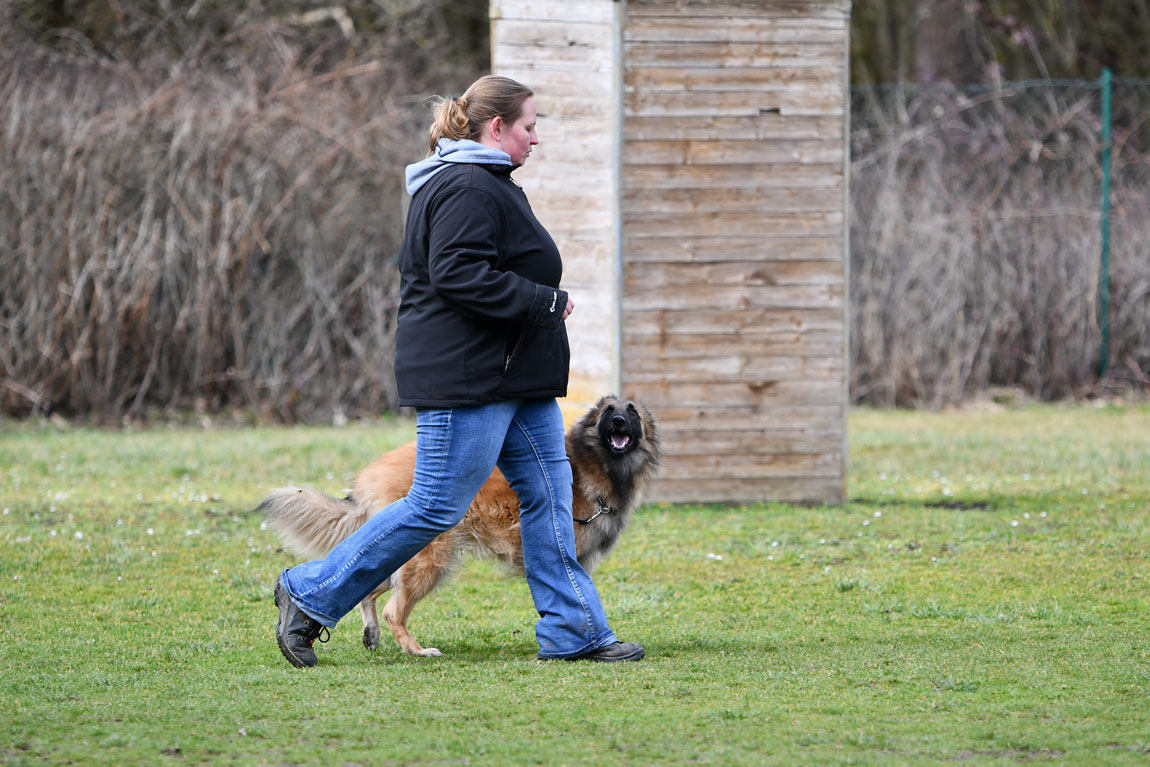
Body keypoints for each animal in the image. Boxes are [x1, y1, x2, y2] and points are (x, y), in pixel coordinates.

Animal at [258, 400, 657, 657]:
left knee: (367, 588)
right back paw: (416, 650)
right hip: (428, 558)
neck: (594, 463)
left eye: (631, 411)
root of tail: (371, 476)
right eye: (608, 411)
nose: (619, 421)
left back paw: (368, 634)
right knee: (391, 608)